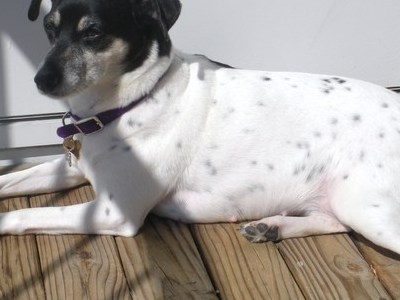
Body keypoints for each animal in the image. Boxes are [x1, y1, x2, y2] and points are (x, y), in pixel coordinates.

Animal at [0, 0, 400, 254]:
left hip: (367, 208)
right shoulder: (72, 169)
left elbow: (23, 213)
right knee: (334, 222)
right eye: (49, 29)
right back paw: (271, 227)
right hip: (345, 202)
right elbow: (11, 181)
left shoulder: (116, 212)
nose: (41, 80)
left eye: (93, 32)